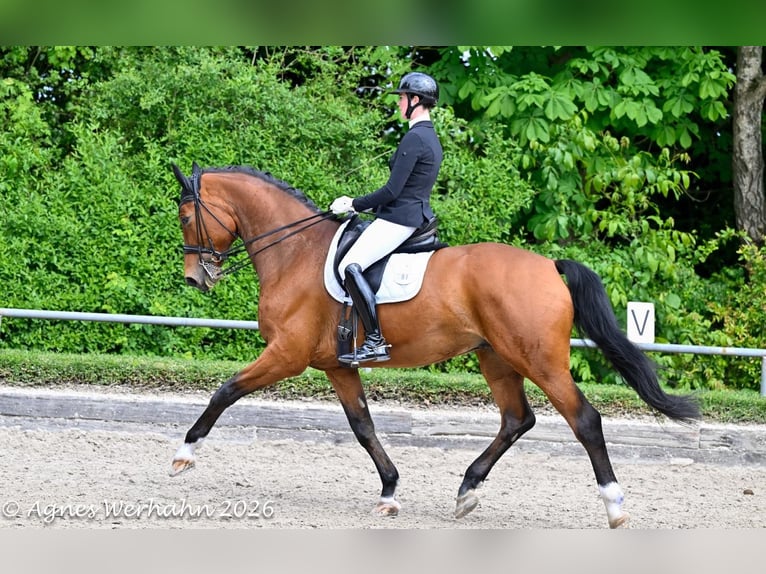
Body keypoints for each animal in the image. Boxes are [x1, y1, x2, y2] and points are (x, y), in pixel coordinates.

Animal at [169, 162, 700, 528]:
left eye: (186, 215)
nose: (195, 278)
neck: (295, 252)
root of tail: (549, 265)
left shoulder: (287, 355)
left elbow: (225, 391)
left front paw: (184, 454)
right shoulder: (337, 366)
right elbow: (363, 427)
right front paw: (389, 491)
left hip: (540, 361)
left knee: (584, 419)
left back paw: (614, 506)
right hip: (496, 358)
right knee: (517, 419)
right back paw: (467, 490)